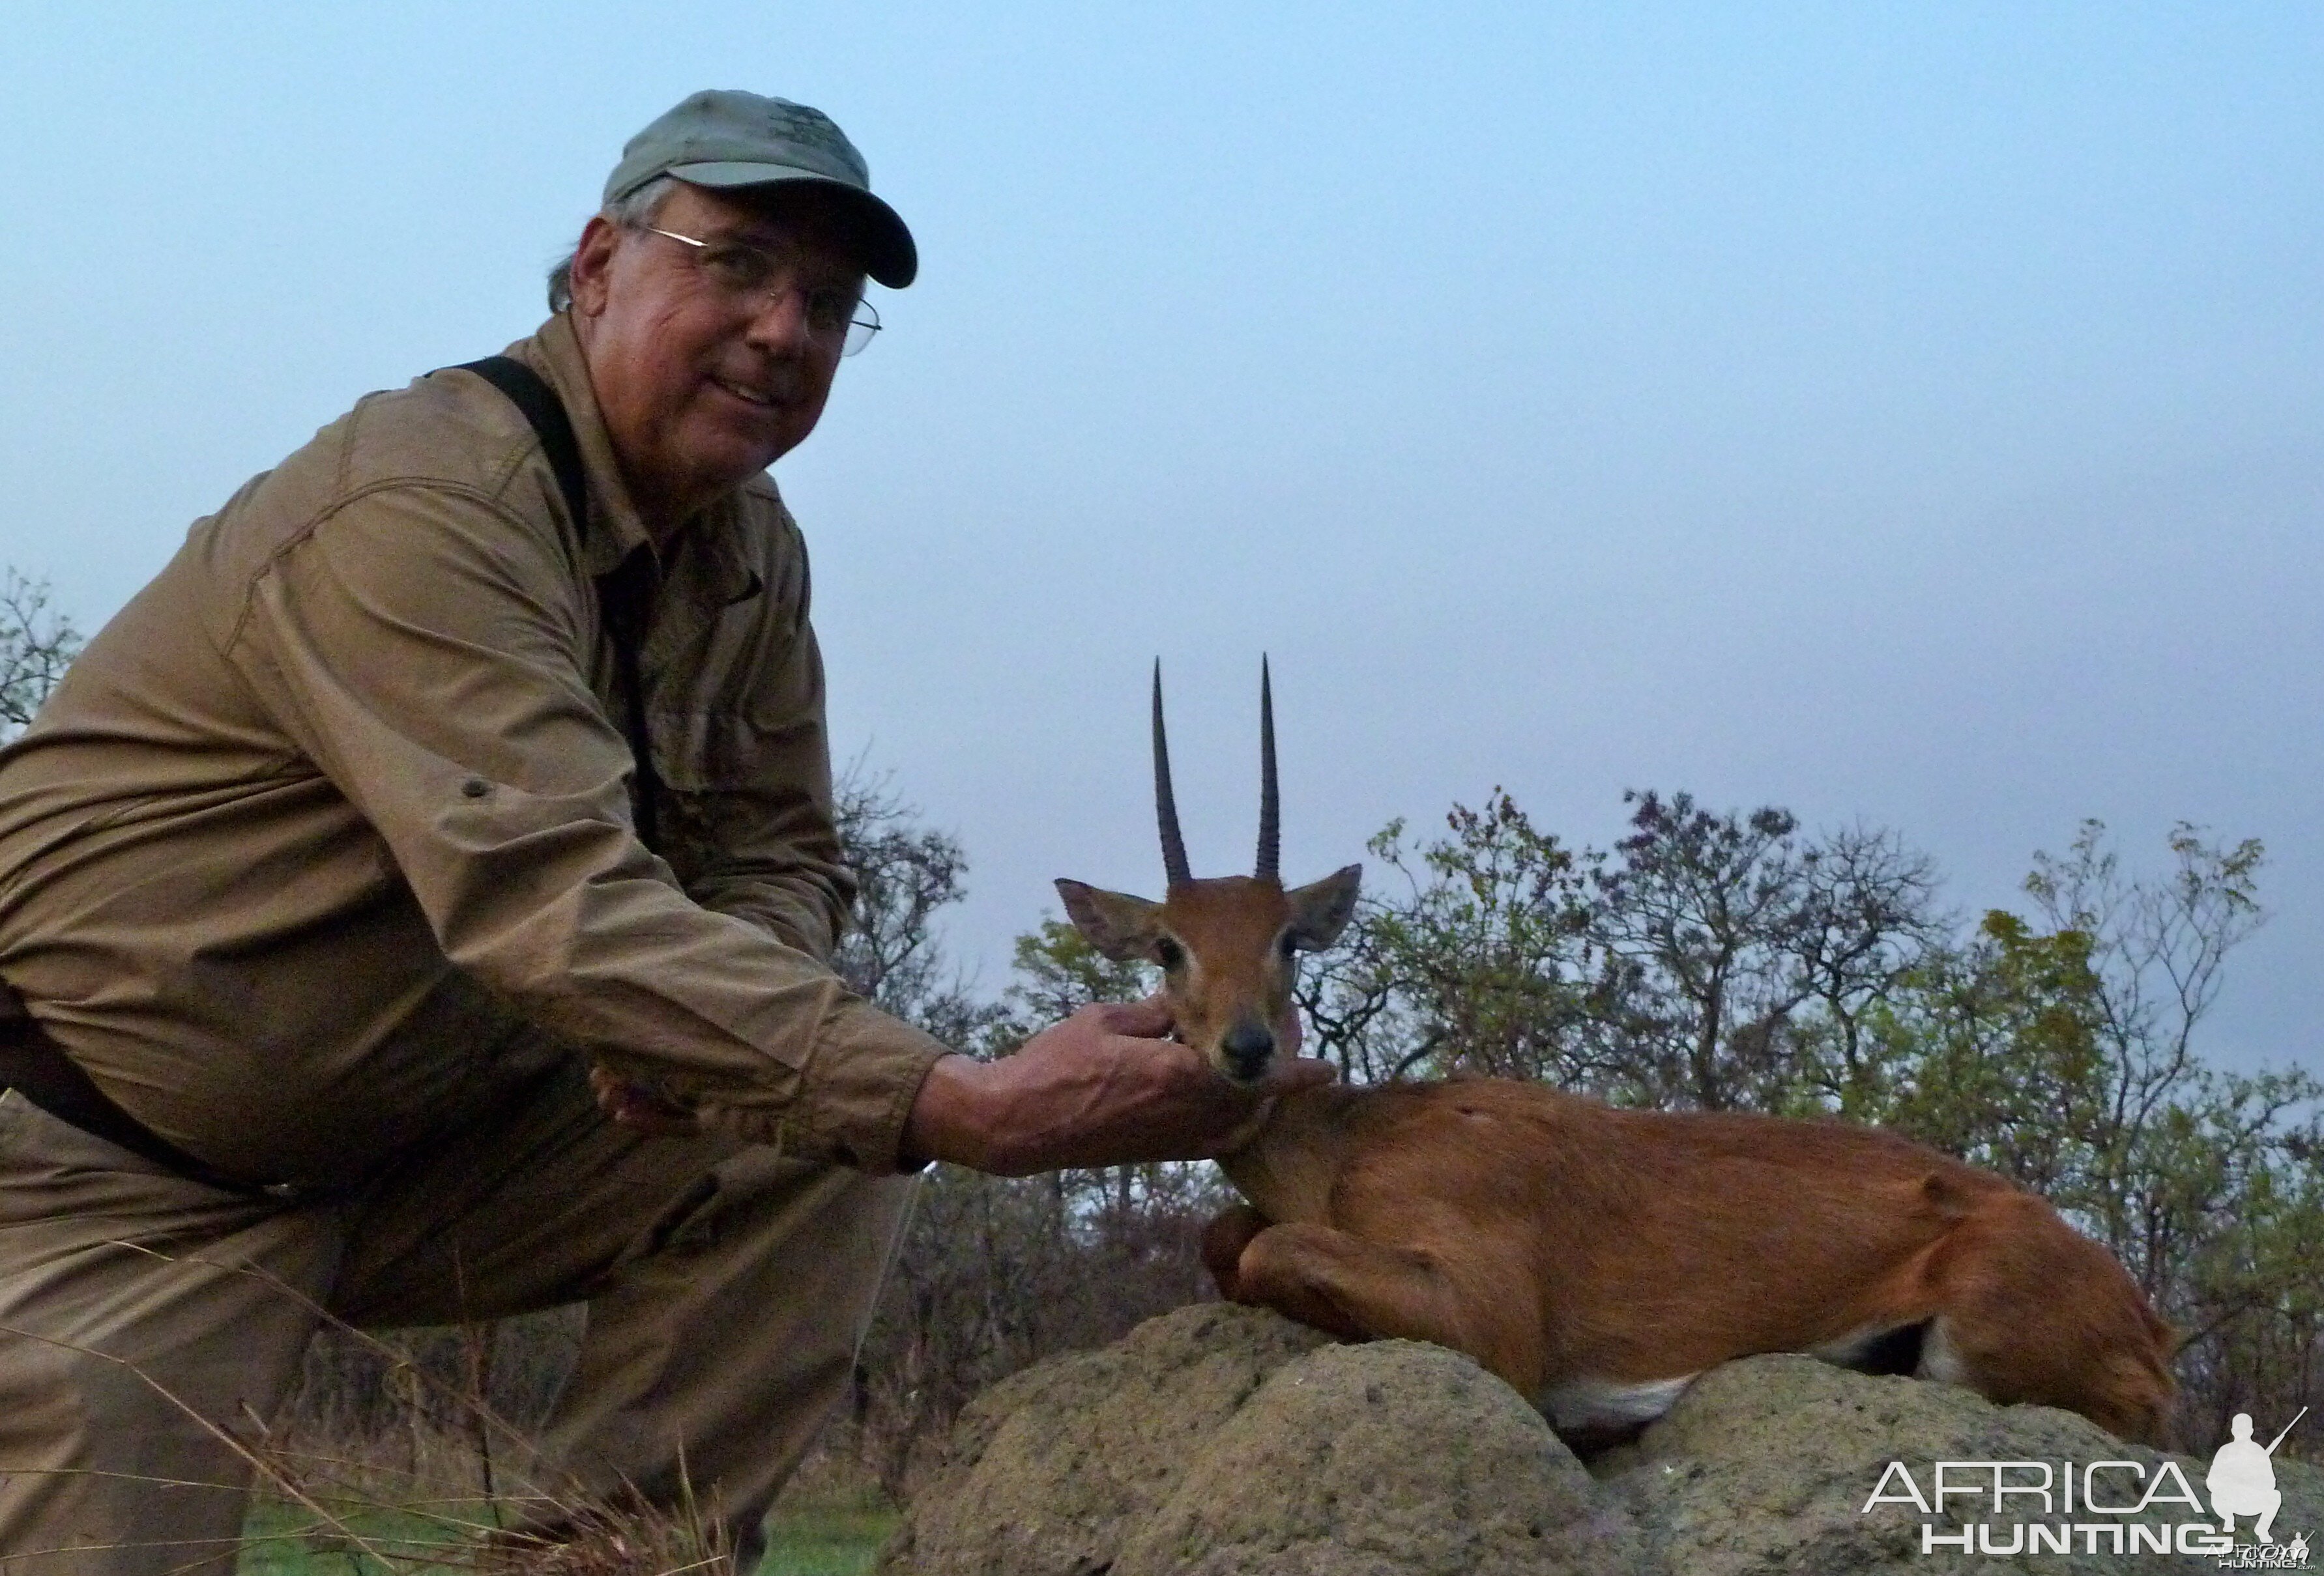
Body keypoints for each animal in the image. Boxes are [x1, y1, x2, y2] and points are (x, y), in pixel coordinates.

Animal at [1054, 660, 2175, 1450]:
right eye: (1168, 945)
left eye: (1287, 936)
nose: (1245, 1046)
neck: (1345, 1147)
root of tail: (2146, 1324)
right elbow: (1226, 1237)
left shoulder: (1488, 1315)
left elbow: (1263, 1246)